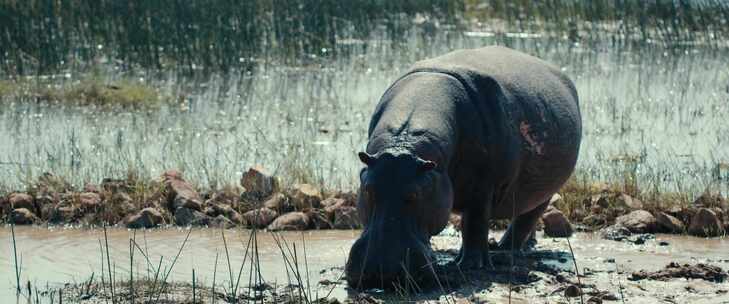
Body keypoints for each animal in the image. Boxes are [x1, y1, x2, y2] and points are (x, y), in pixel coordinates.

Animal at [346, 46, 580, 288]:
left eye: (415, 194)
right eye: (368, 190)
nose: (383, 270)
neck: (404, 143)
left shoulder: (484, 184)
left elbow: (475, 222)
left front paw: (470, 265)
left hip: (546, 190)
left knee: (527, 217)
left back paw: (503, 251)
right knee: (524, 210)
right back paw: (523, 245)